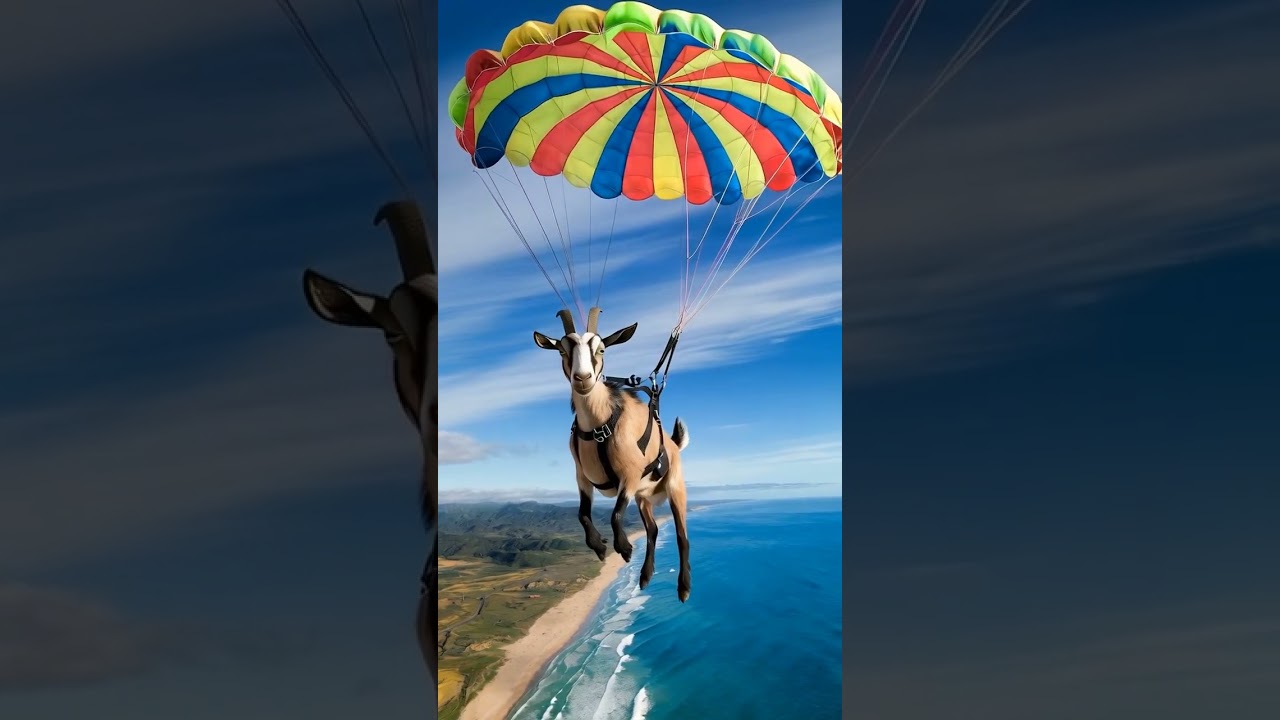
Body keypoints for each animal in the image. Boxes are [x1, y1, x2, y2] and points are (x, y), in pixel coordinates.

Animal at [533, 307, 692, 602]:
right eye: (562, 350)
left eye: (602, 349)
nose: (582, 378)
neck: (599, 427)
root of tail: (675, 444)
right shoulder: (583, 477)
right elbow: (583, 514)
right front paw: (599, 547)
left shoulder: (629, 476)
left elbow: (616, 514)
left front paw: (625, 548)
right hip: (643, 497)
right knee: (653, 529)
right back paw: (645, 576)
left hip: (675, 486)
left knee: (681, 534)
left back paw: (684, 587)